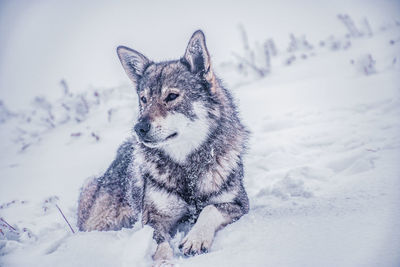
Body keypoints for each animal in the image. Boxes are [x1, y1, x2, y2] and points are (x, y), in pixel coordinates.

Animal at [76, 30, 248, 264]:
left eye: (172, 96)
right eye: (144, 99)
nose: (139, 128)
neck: (187, 171)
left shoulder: (240, 204)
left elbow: (210, 209)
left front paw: (195, 239)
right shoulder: (153, 218)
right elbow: (159, 245)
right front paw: (165, 261)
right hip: (101, 219)